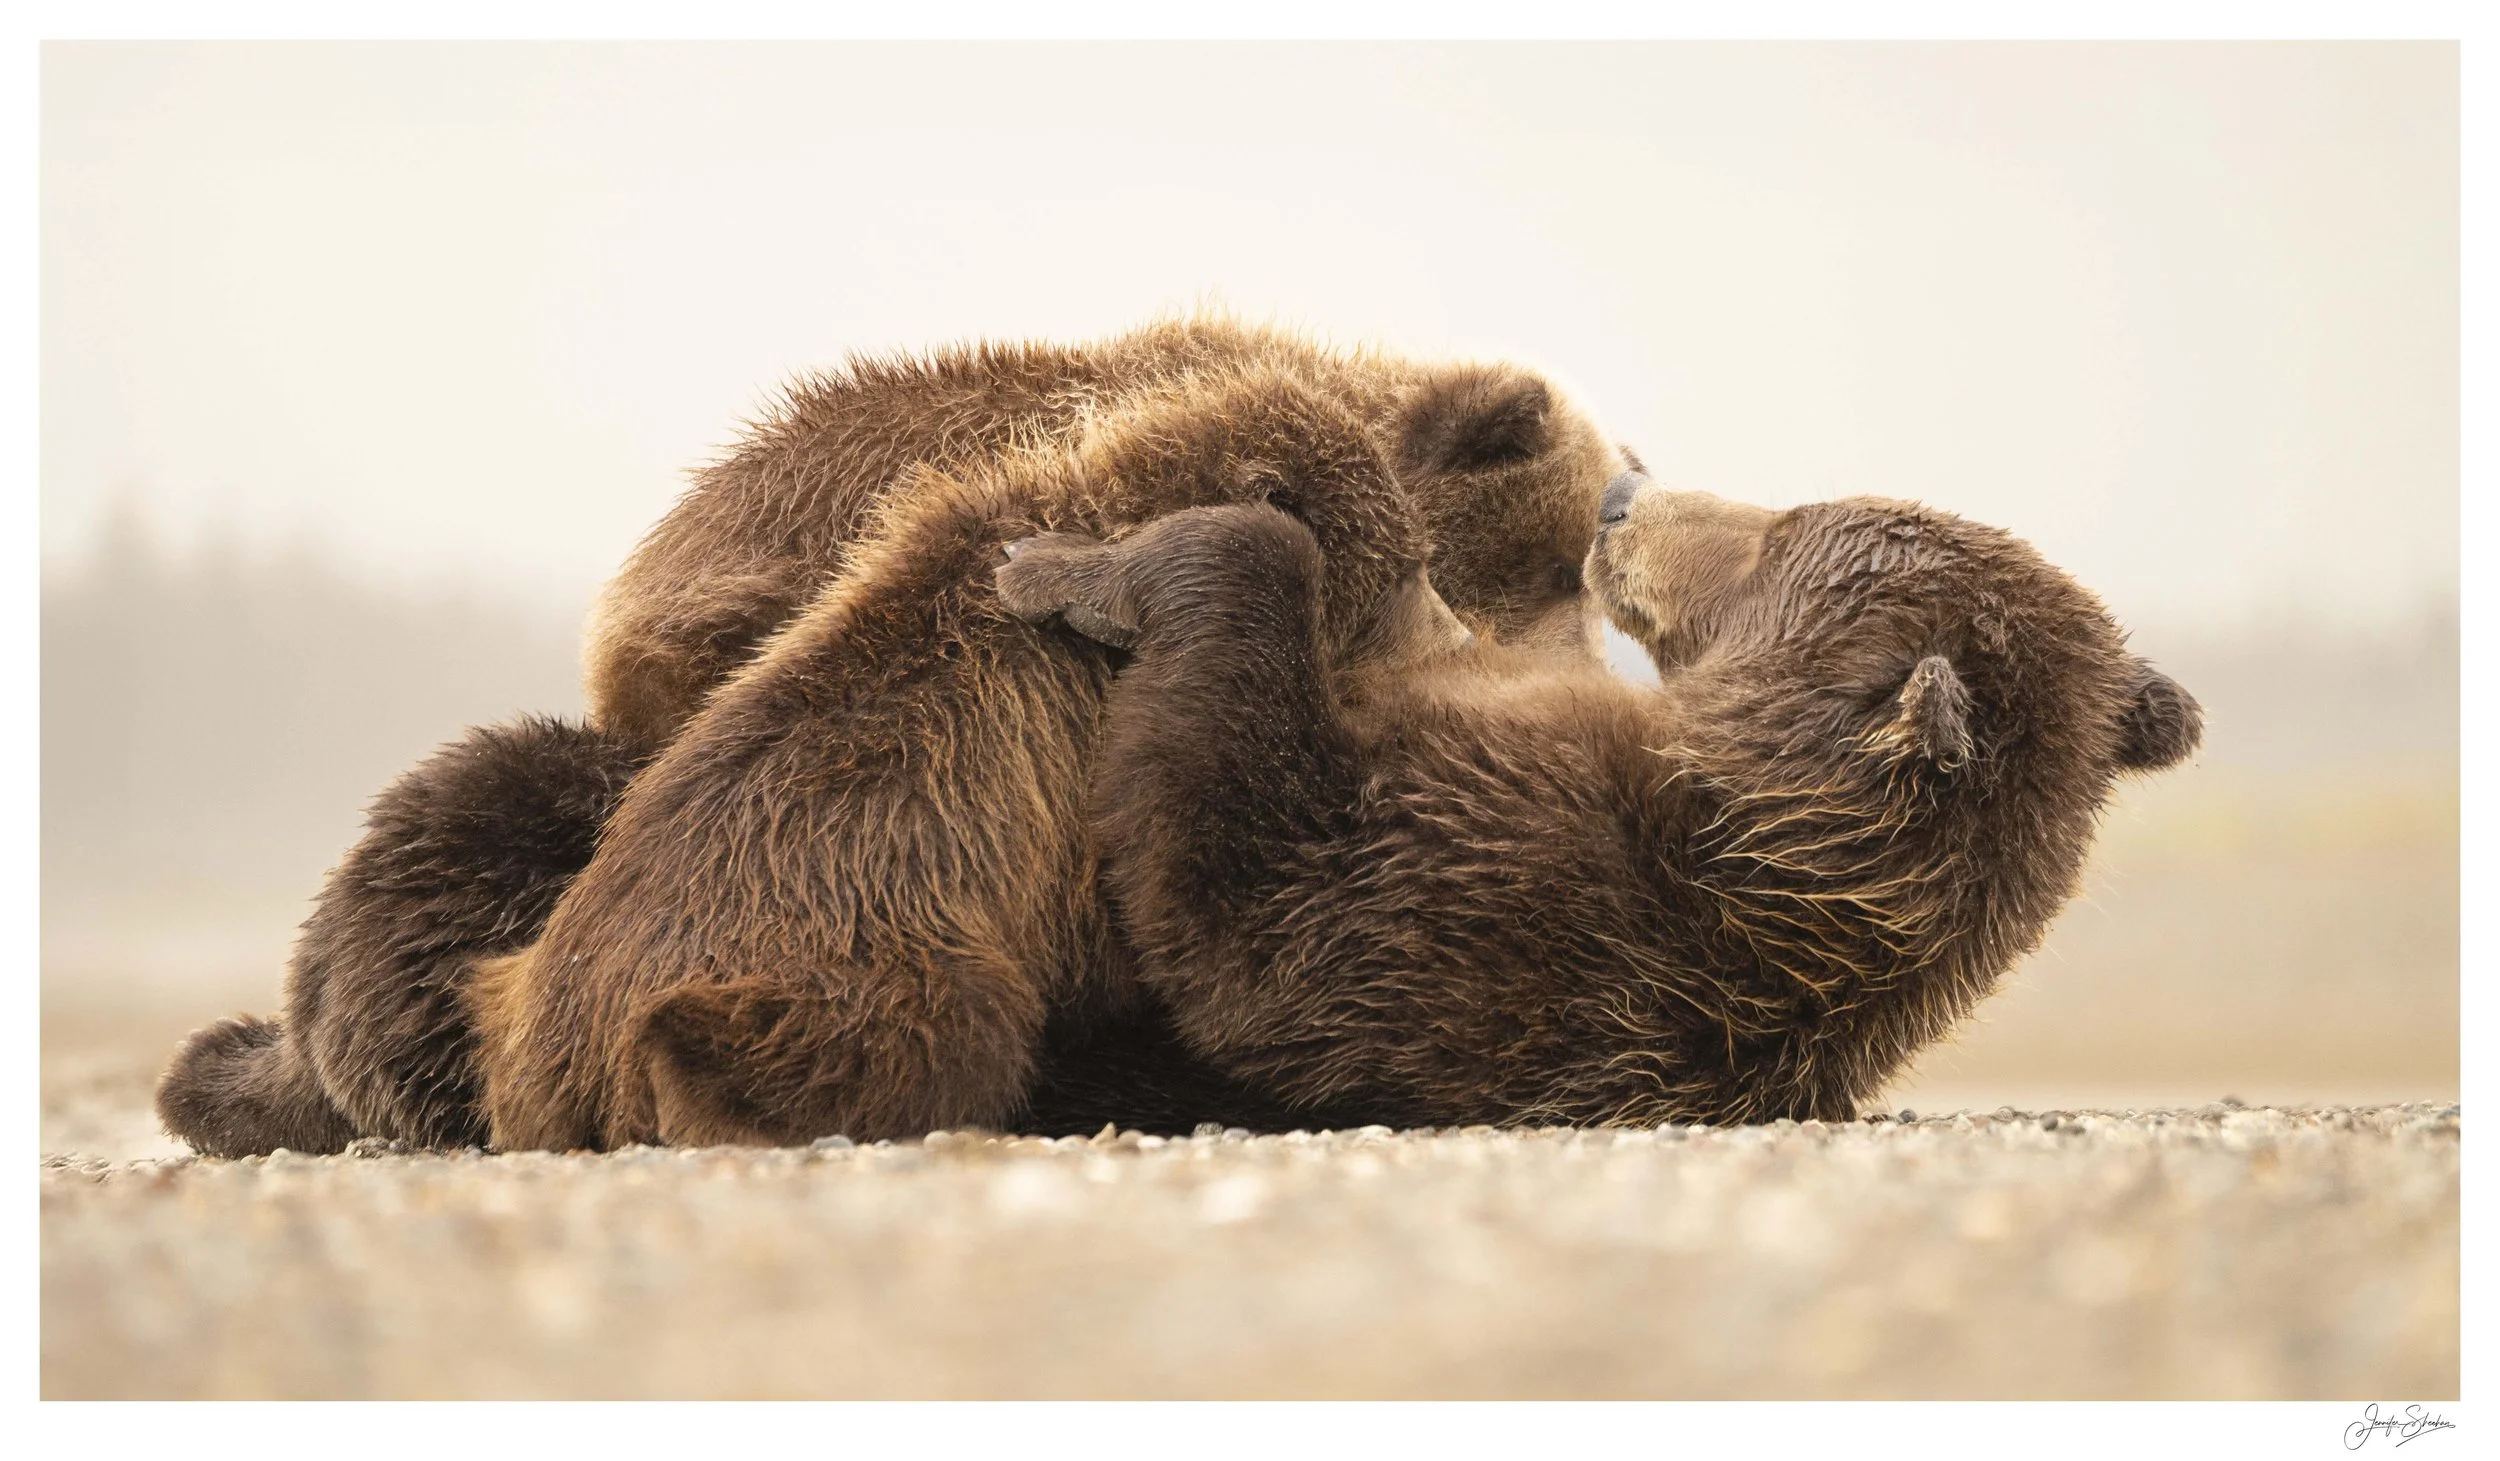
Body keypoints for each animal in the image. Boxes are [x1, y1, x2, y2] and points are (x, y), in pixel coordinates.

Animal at [989, 475, 2204, 1127]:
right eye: (1792, 508)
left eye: (1772, 534)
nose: (1621, 502)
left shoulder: (1488, 904)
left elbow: (1242, 898)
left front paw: (1058, 566)